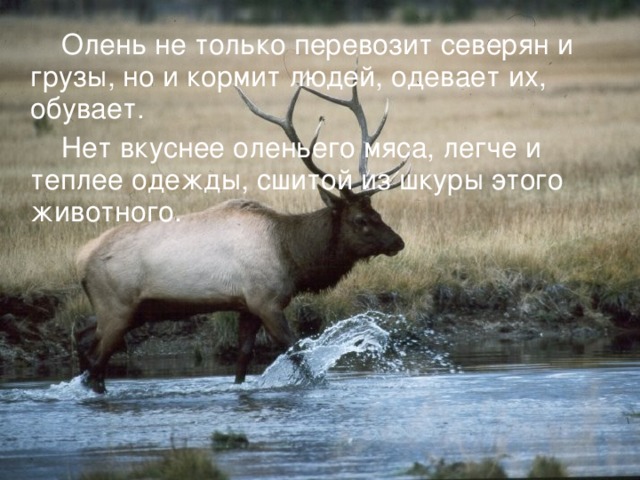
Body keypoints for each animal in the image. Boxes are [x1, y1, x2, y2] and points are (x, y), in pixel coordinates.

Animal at [74, 76, 409, 393]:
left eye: (378, 213)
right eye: (360, 219)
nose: (398, 242)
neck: (293, 256)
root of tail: (81, 259)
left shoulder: (246, 306)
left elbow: (242, 361)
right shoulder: (266, 301)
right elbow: (297, 353)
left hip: (130, 311)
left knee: (83, 338)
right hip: (116, 307)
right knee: (96, 360)